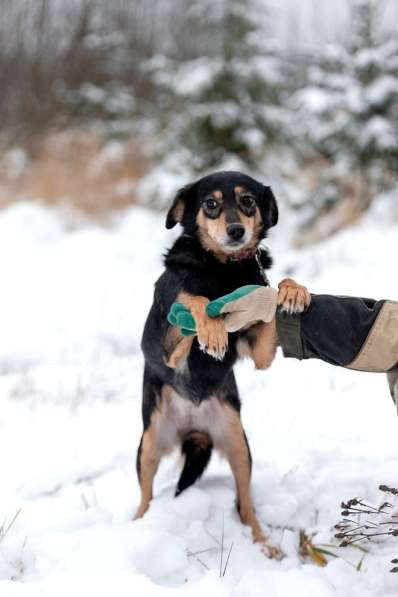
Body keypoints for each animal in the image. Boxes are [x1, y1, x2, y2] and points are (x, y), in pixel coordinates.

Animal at [135, 170, 310, 556]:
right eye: (210, 204)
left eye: (248, 201)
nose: (235, 231)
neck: (224, 269)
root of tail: (194, 427)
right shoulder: (162, 345)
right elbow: (194, 299)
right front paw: (212, 330)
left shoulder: (261, 352)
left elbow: (272, 293)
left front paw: (293, 290)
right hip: (149, 443)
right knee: (145, 496)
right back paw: (137, 525)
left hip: (238, 445)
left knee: (246, 506)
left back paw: (265, 543)